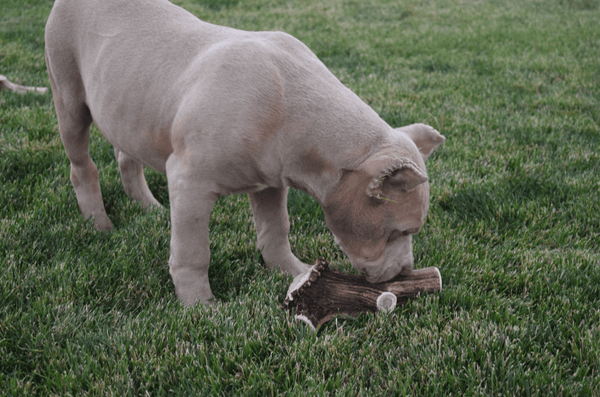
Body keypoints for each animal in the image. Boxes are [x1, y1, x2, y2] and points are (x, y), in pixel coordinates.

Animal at [45, 0, 446, 304]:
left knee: (127, 155)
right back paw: (99, 223)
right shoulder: (189, 182)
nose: (405, 272)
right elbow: (193, 252)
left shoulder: (271, 182)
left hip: (131, 106)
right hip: (69, 98)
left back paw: (147, 206)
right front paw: (199, 306)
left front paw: (294, 273)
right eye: (400, 232)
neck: (295, 110)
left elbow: (276, 229)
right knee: (82, 165)